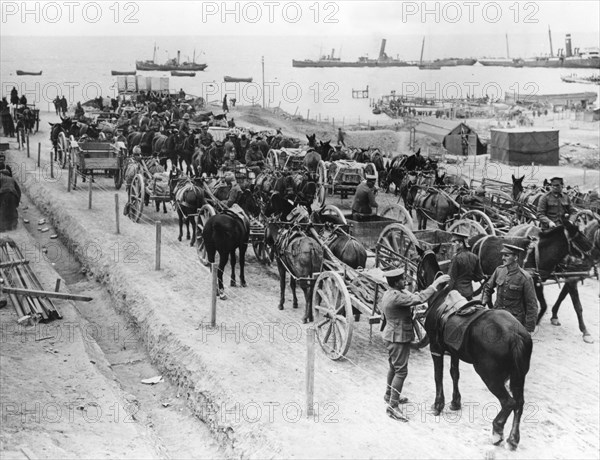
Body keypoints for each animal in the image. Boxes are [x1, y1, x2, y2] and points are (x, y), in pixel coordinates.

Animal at [414, 250, 532, 452]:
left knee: (509, 402)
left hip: (489, 375)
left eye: (417, 265)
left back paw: (497, 431)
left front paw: (438, 405)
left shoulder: (436, 349)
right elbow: (454, 374)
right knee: (519, 403)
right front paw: (455, 402)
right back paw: (513, 438)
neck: (441, 298)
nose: (414, 286)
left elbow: (439, 376)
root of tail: (515, 333)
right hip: (518, 375)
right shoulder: (453, 352)